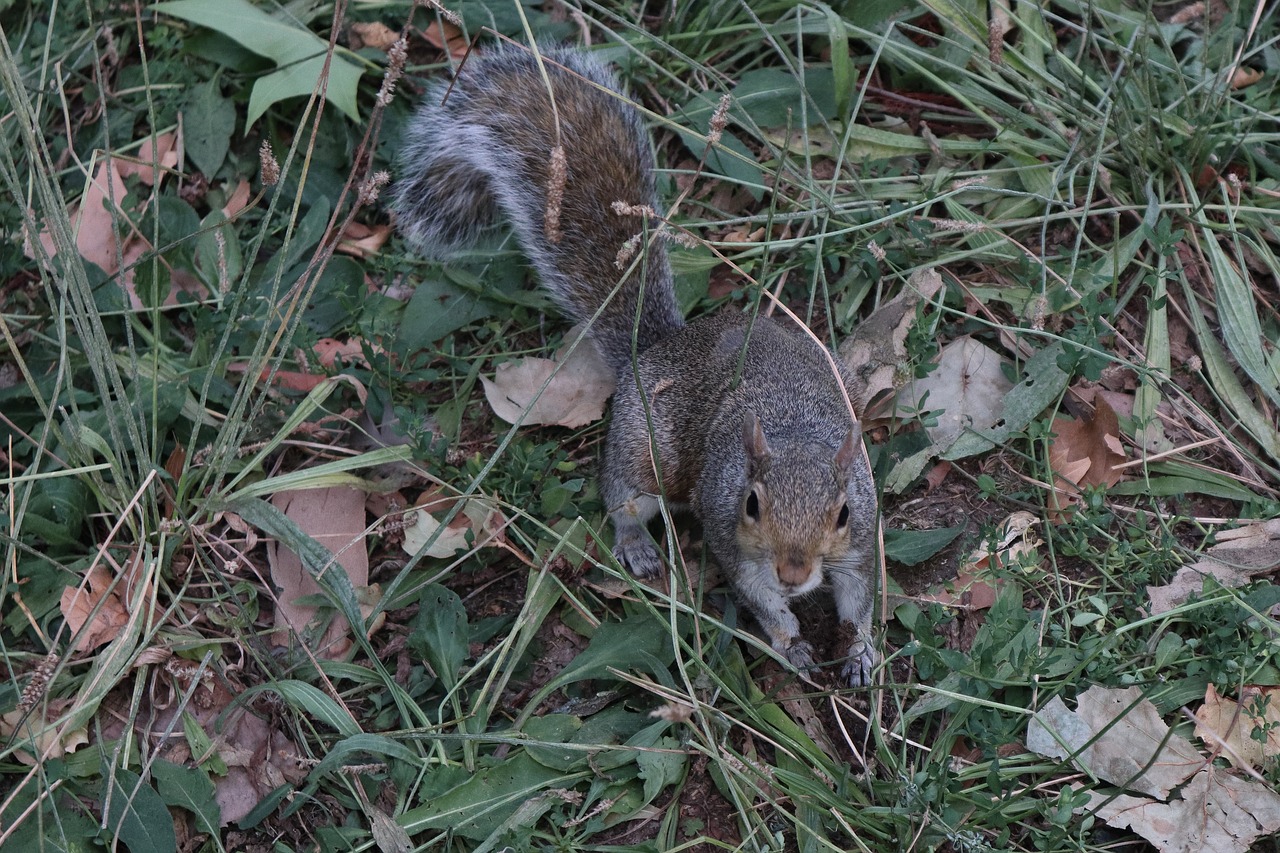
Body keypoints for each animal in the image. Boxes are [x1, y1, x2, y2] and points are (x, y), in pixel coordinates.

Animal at [394, 44, 885, 686]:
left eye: (843, 513)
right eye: (752, 504)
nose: (794, 575)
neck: (794, 432)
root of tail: (654, 349)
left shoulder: (863, 542)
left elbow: (860, 596)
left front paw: (861, 652)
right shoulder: (732, 538)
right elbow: (758, 597)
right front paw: (791, 642)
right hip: (641, 449)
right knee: (622, 498)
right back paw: (637, 545)